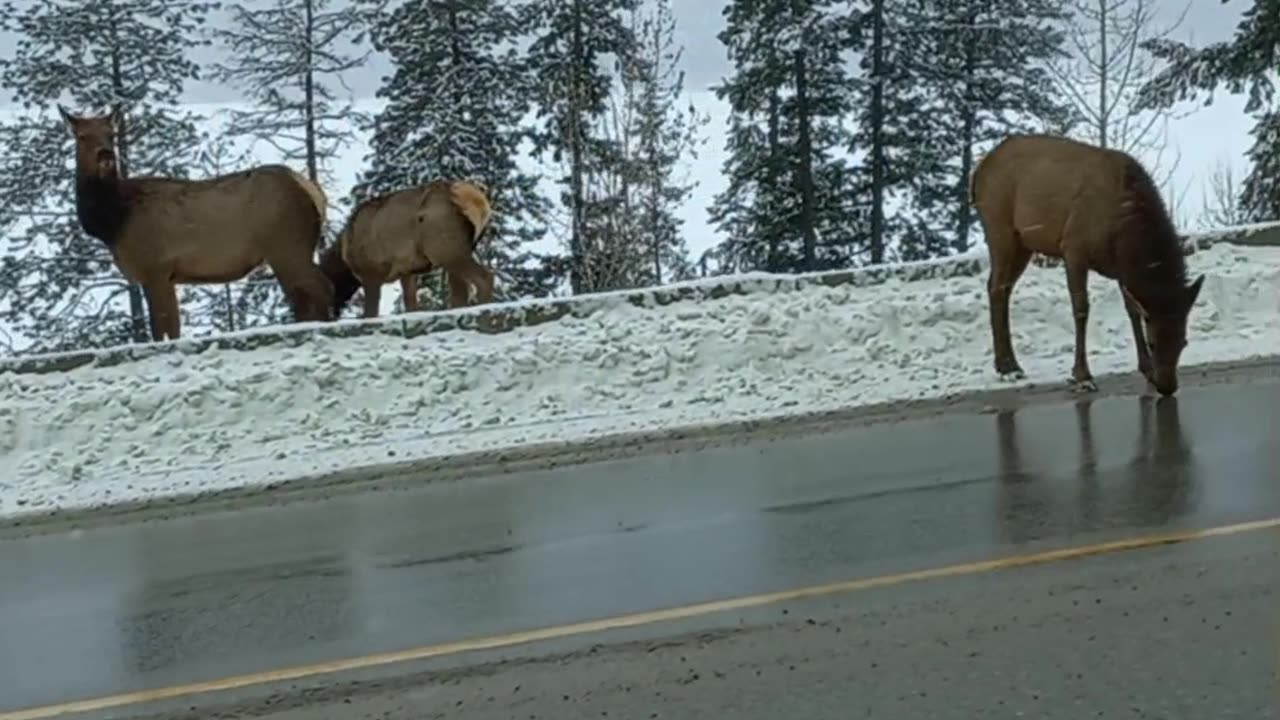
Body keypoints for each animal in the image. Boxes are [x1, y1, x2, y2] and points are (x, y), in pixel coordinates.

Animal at [61, 105, 332, 340]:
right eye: (81, 136)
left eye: (111, 134)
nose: (105, 154)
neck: (112, 222)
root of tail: (314, 192)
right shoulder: (164, 275)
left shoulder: (156, 267)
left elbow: (164, 329)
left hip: (287, 244)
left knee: (316, 288)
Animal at [972, 131, 1203, 394]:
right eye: (1153, 342)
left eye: (1184, 341)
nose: (1166, 385)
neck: (1122, 237)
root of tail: (978, 171)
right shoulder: (1073, 248)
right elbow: (1081, 309)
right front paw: (1082, 375)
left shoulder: (1121, 269)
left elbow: (1132, 310)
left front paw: (1144, 368)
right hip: (999, 228)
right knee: (997, 286)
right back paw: (1007, 367)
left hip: (1023, 244)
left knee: (1002, 288)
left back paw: (1008, 364)